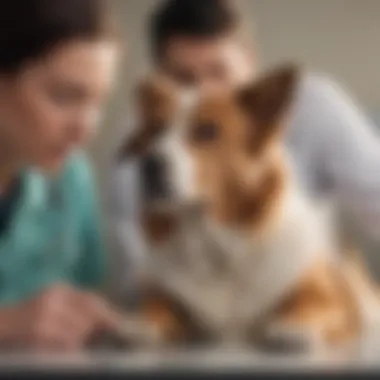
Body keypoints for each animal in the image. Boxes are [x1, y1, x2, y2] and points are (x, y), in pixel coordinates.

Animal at [115, 63, 380, 354]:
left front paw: (293, 327)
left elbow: (311, 305)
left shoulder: (335, 300)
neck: (215, 246)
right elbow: (158, 307)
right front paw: (140, 324)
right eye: (155, 130)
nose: (148, 166)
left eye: (208, 131)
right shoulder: (167, 295)